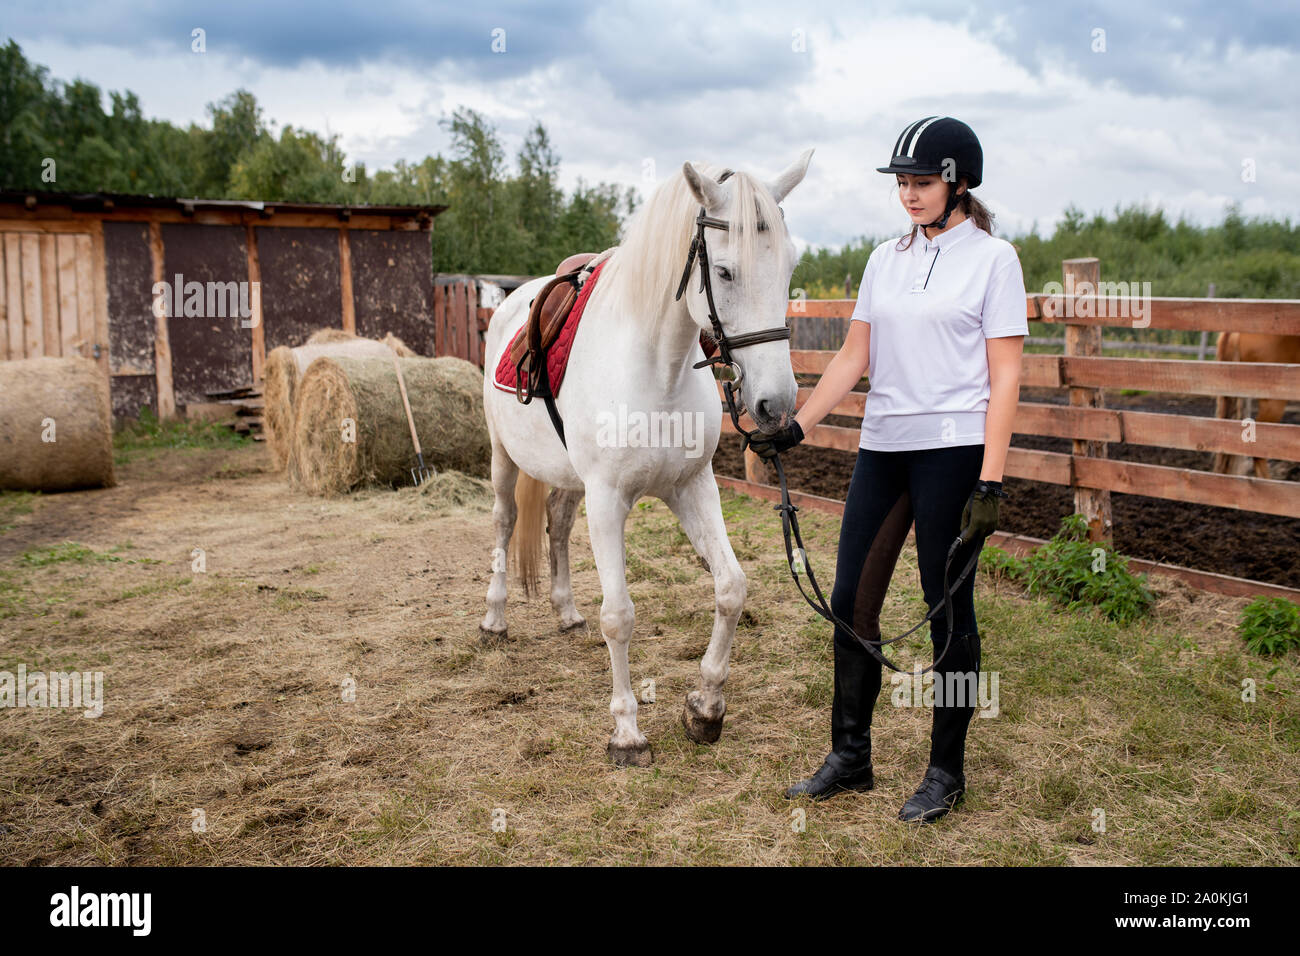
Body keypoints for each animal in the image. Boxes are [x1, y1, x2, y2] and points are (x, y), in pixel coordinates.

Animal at [478, 153, 811, 764]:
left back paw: (566, 612)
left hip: (571, 481)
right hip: (503, 459)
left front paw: (705, 707)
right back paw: (494, 618)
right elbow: (620, 616)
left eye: (790, 267)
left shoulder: (692, 486)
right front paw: (627, 732)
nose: (775, 405)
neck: (661, 368)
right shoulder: (609, 501)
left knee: (557, 523)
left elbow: (731, 587)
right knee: (505, 522)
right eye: (724, 272)